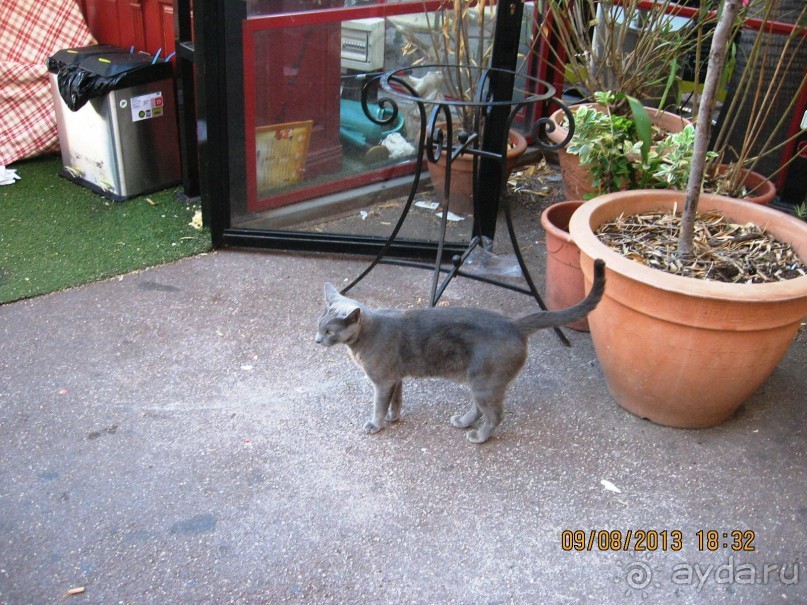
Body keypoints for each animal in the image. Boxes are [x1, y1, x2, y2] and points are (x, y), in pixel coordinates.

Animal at [316, 258, 608, 442]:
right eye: (319, 326)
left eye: (329, 331)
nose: (317, 340)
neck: (363, 339)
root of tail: (514, 323)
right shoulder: (395, 378)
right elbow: (396, 401)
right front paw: (393, 417)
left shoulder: (382, 380)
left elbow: (378, 405)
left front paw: (376, 425)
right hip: (480, 380)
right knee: (481, 409)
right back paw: (464, 422)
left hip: (484, 380)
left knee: (495, 414)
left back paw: (478, 437)